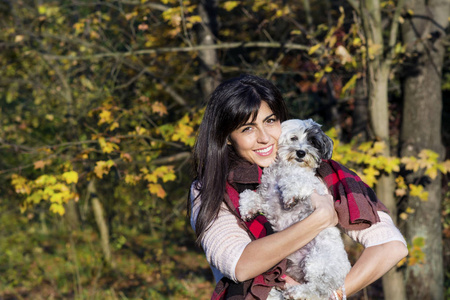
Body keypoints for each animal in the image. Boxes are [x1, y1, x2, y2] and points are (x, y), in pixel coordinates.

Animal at [239, 119, 352, 300]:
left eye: (313, 142)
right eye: (293, 138)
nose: (301, 152)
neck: (284, 169)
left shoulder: (310, 185)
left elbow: (296, 179)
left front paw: (290, 195)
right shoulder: (267, 201)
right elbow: (249, 195)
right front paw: (248, 209)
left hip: (316, 261)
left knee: (317, 290)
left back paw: (296, 293)